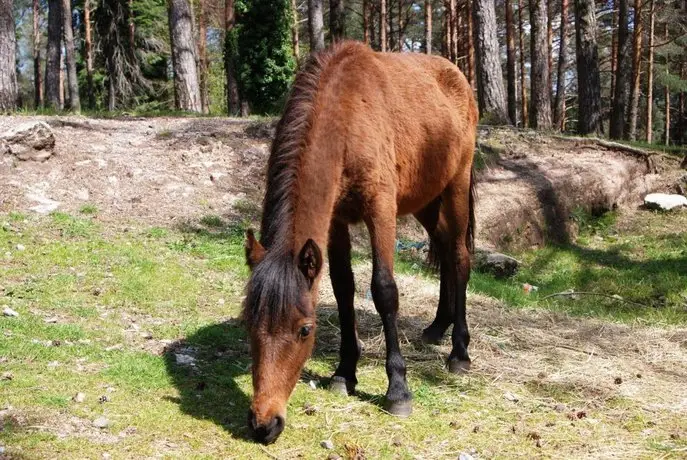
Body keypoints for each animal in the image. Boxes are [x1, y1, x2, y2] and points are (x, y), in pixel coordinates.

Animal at [243, 41, 478, 444]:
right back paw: (437, 327)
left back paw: (458, 352)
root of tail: (456, 74)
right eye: (248, 323)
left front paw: (397, 390)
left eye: (305, 330)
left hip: (456, 185)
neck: (344, 115)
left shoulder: (381, 209)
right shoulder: (335, 221)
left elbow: (383, 290)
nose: (265, 423)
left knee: (460, 257)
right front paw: (344, 372)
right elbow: (343, 289)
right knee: (446, 251)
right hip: (426, 200)